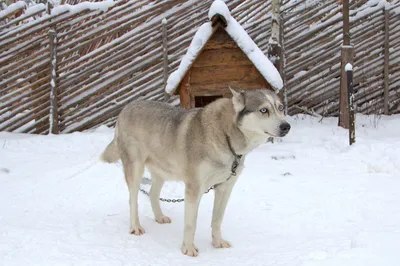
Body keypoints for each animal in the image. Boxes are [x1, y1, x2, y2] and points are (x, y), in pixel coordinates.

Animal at [101, 87, 290, 256]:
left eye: (280, 108)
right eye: (263, 110)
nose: (286, 126)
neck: (225, 135)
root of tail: (127, 106)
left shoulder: (225, 188)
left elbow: (217, 220)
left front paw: (217, 242)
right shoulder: (194, 189)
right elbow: (191, 224)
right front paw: (188, 249)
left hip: (162, 172)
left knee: (153, 194)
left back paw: (160, 217)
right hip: (135, 169)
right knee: (133, 200)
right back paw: (135, 226)